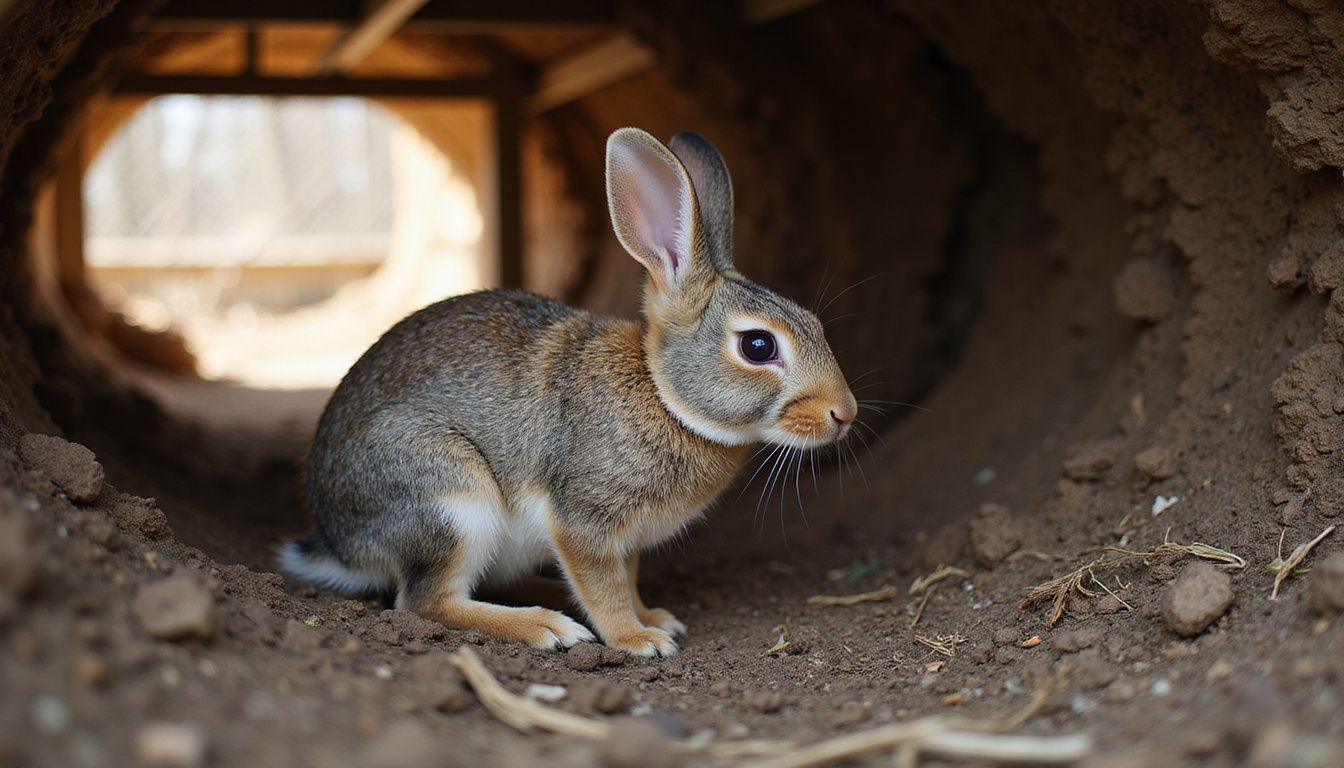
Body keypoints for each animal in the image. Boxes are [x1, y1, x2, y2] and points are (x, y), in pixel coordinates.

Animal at [279, 127, 857, 657]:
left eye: (812, 323)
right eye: (758, 346)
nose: (844, 414)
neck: (663, 395)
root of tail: (339, 543)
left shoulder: (627, 542)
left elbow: (626, 579)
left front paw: (655, 618)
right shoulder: (583, 519)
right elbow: (603, 586)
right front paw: (638, 639)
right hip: (449, 496)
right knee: (426, 600)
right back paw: (546, 627)